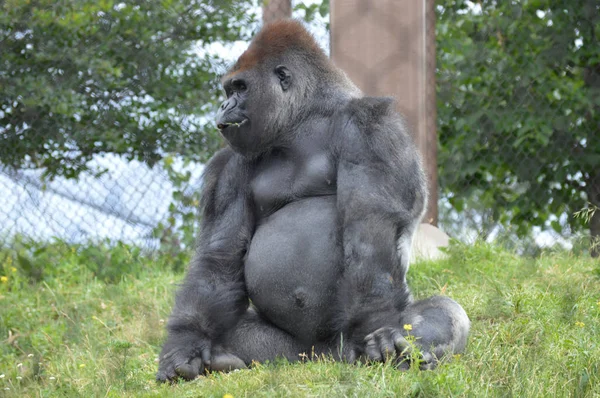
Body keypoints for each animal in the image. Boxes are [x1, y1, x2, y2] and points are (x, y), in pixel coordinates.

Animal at [157, 19, 472, 382]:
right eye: (229, 91)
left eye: (240, 88)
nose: (223, 107)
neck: (302, 120)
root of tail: (323, 358)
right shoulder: (230, 168)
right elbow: (219, 256)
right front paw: (185, 344)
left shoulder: (369, 126)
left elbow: (369, 225)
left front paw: (377, 326)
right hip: (291, 354)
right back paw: (221, 357)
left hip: (343, 346)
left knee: (445, 311)